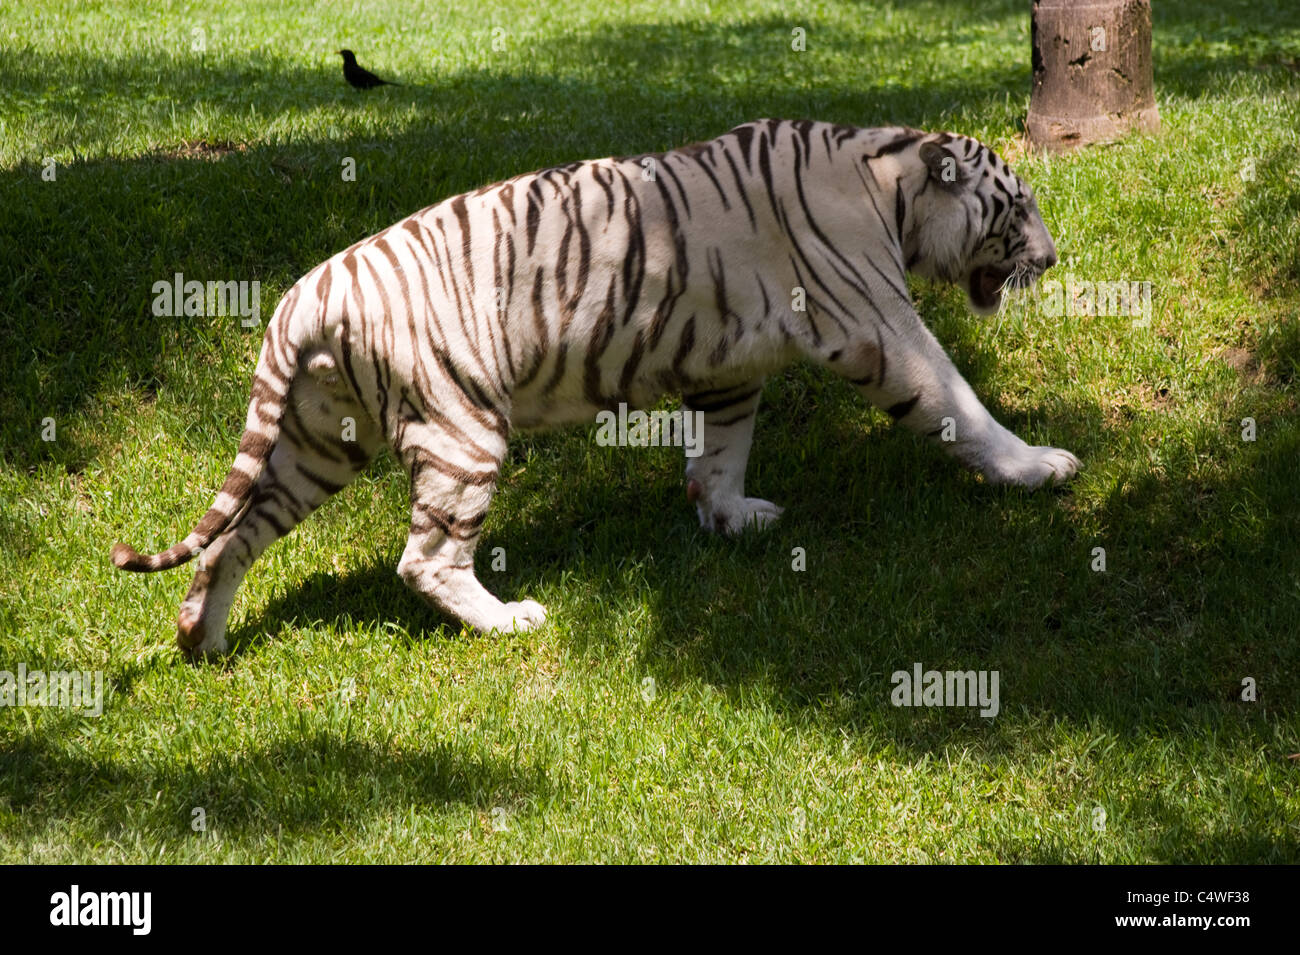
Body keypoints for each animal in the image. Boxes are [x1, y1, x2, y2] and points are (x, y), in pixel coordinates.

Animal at [111, 118, 1079, 656]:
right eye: (1019, 209)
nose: (1054, 256)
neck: (889, 181)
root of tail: (302, 296)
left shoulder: (730, 367)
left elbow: (721, 451)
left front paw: (730, 517)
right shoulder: (880, 325)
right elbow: (959, 404)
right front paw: (1038, 466)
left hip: (315, 442)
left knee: (234, 538)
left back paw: (203, 637)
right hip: (463, 430)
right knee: (425, 558)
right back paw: (508, 620)